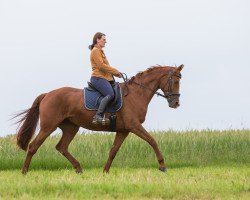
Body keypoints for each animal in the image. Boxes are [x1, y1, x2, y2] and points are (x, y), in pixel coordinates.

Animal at [15, 65, 184, 174]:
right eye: (175, 81)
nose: (175, 103)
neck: (137, 93)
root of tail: (47, 94)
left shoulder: (123, 130)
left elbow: (113, 151)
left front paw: (105, 171)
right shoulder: (134, 126)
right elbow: (152, 140)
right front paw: (162, 165)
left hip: (71, 127)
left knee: (61, 147)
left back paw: (78, 168)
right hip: (48, 127)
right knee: (33, 147)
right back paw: (24, 172)